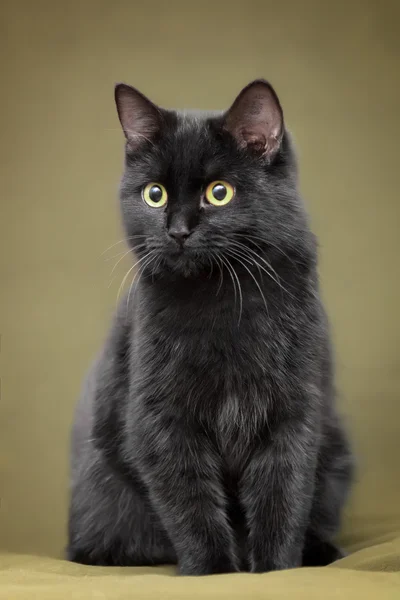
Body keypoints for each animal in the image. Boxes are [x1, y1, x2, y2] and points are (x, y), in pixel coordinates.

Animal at [68, 77, 354, 576]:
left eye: (219, 192)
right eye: (154, 194)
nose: (178, 231)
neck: (222, 300)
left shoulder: (293, 412)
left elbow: (283, 495)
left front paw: (277, 570)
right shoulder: (161, 422)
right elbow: (191, 503)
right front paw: (215, 572)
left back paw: (320, 550)